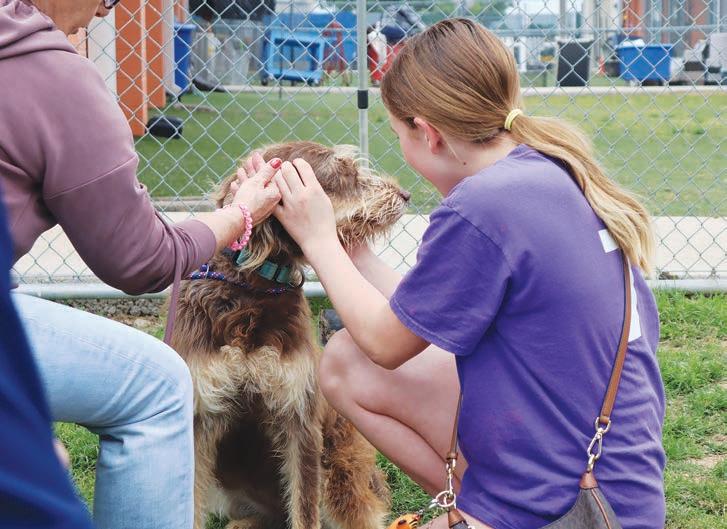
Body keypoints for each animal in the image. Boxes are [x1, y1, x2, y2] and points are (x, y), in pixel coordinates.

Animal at [170, 141, 410, 529]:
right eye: (344, 174)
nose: (404, 195)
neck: (253, 289)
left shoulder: (299, 418)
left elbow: (305, 510)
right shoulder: (198, 416)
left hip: (340, 469)